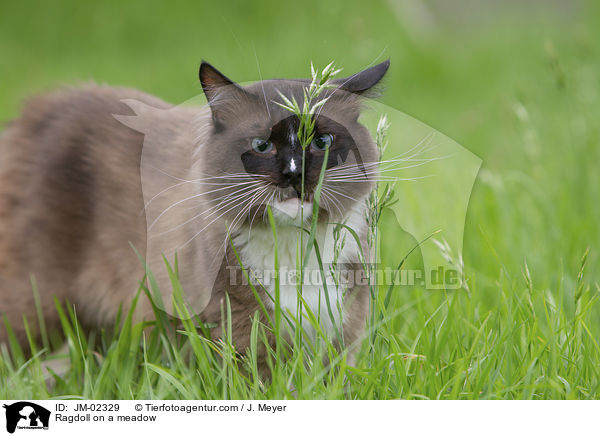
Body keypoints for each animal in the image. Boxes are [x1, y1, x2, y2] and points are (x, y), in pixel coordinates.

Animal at [0, 58, 390, 364]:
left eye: (321, 142)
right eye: (261, 145)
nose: (295, 174)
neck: (296, 251)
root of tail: (33, 109)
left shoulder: (338, 335)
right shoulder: (235, 334)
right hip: (37, 308)